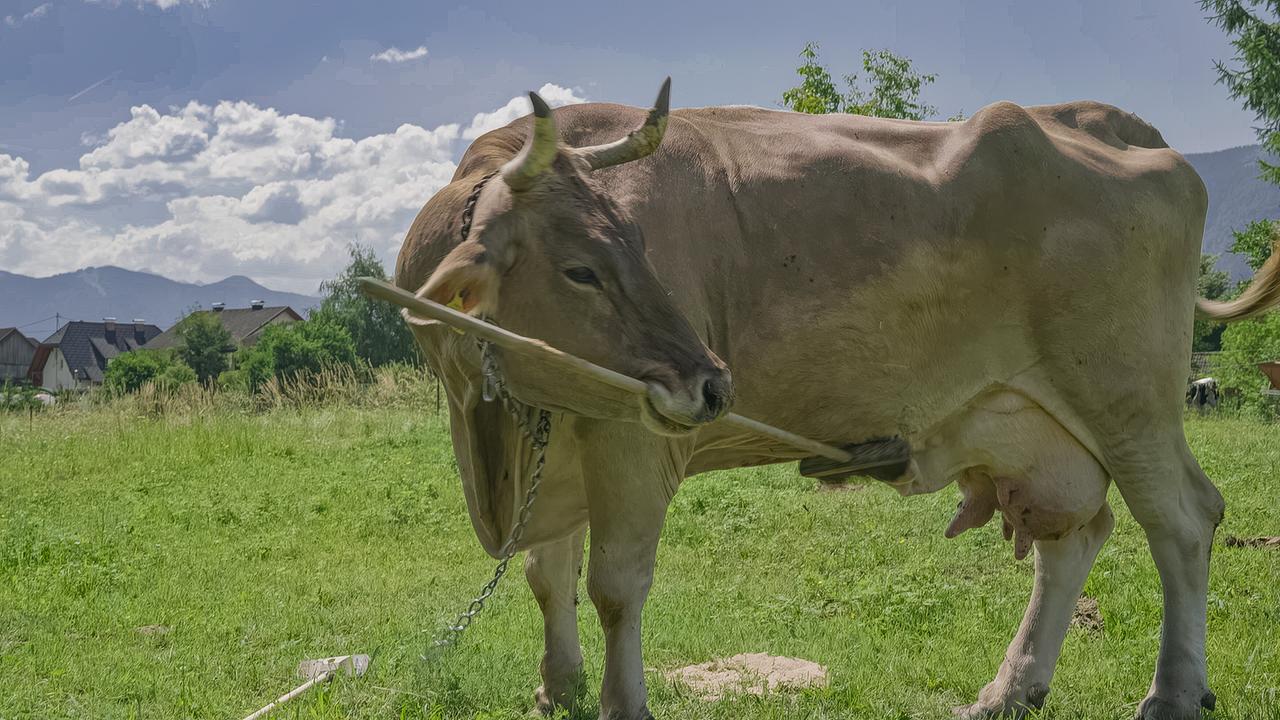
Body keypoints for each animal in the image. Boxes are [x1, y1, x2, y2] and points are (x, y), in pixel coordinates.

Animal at [394, 79, 1280, 720]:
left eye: (643, 243)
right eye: (579, 268)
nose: (711, 381)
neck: (493, 429)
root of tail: (1109, 122)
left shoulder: (631, 437)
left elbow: (614, 584)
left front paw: (621, 703)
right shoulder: (558, 435)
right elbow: (547, 572)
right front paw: (558, 687)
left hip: (1128, 397)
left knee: (1183, 519)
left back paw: (1172, 692)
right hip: (1031, 425)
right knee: (1076, 537)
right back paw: (1010, 690)